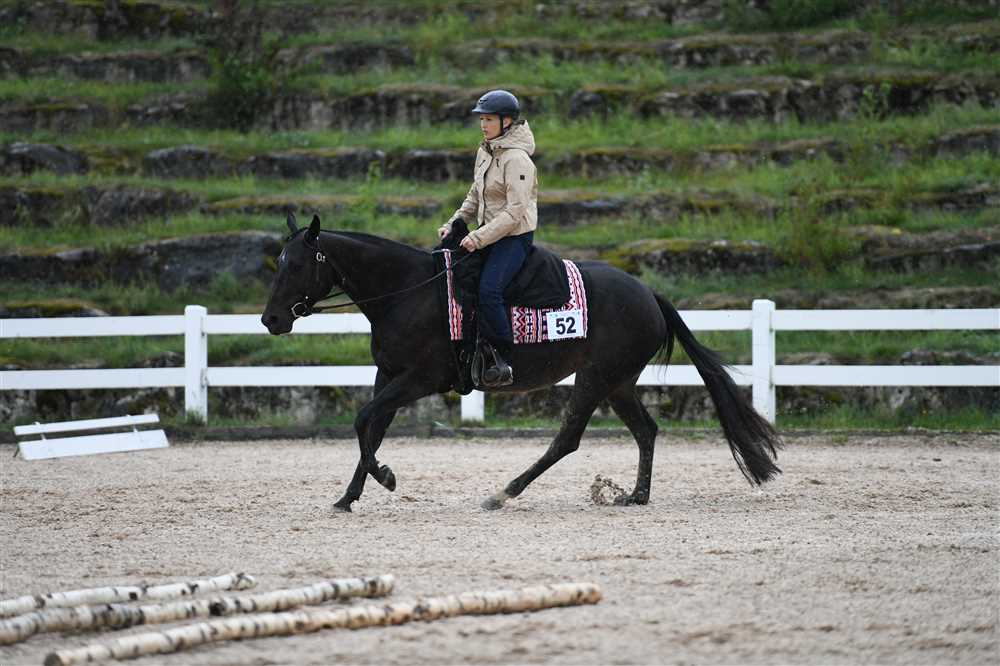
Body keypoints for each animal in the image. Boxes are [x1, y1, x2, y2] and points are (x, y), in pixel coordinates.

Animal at [261, 213, 781, 512]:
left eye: (297, 265)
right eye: (278, 263)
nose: (270, 319)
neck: (408, 290)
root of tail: (648, 293)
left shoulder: (420, 379)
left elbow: (362, 420)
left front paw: (385, 477)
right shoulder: (387, 375)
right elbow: (372, 427)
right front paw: (348, 497)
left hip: (596, 378)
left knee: (568, 439)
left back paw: (504, 492)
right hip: (618, 383)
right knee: (646, 430)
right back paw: (636, 495)